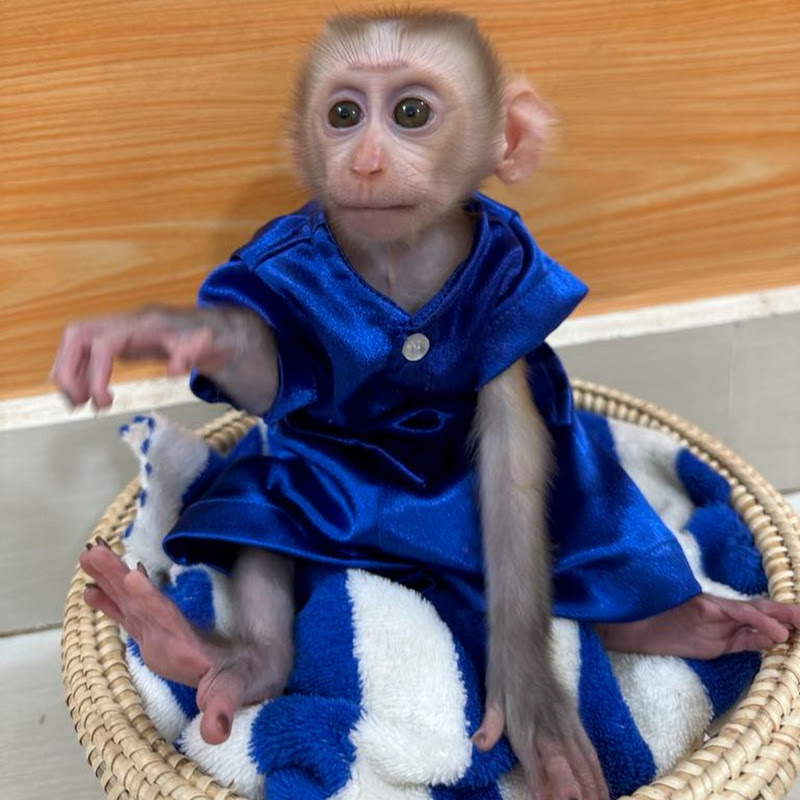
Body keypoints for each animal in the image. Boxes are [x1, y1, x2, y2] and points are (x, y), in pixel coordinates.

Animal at [53, 11, 800, 800]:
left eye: (411, 113)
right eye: (343, 114)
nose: (364, 162)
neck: (398, 266)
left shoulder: (514, 285)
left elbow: (512, 465)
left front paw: (531, 699)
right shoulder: (279, 263)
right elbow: (272, 376)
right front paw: (170, 331)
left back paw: (676, 625)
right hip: (303, 490)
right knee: (259, 509)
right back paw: (217, 655)